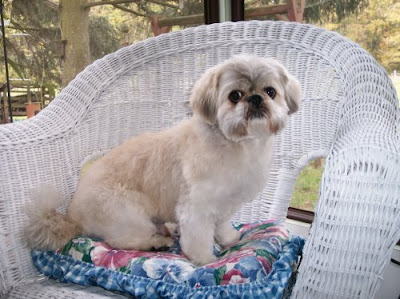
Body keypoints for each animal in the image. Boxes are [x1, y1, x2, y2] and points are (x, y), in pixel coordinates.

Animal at [24, 55, 300, 266]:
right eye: (235, 95)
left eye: (270, 92)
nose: (255, 98)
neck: (238, 144)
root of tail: (73, 216)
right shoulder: (196, 208)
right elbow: (199, 238)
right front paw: (204, 260)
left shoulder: (226, 202)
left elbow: (221, 226)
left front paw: (228, 238)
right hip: (129, 213)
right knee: (123, 241)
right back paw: (157, 242)